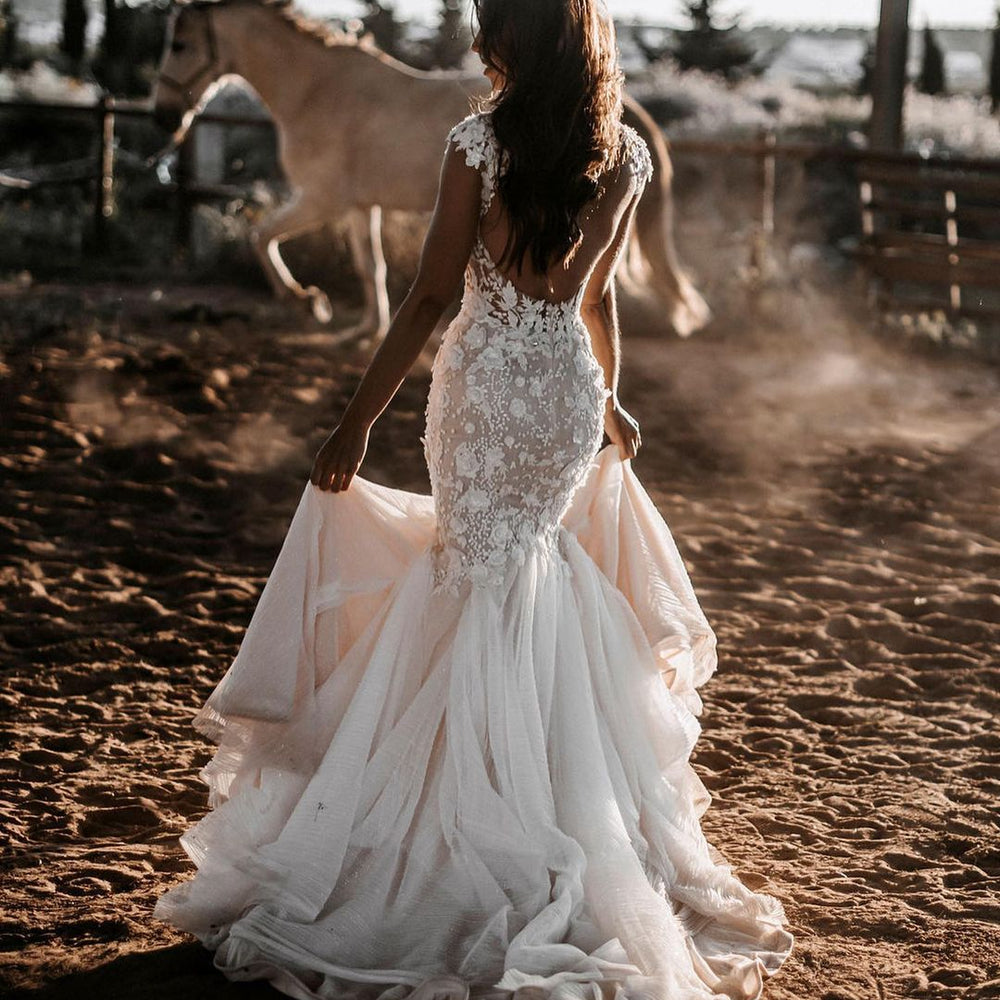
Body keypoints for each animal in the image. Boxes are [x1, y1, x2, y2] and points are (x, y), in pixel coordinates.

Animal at [152, 0, 708, 340]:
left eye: (179, 44)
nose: (163, 117)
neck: (316, 91)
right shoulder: (359, 206)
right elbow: (370, 266)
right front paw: (366, 331)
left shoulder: (320, 199)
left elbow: (260, 236)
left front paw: (307, 302)